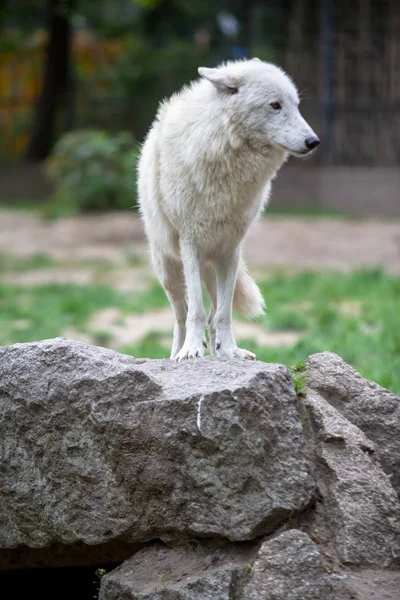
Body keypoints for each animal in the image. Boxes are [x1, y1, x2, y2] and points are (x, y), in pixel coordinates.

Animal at [138, 58, 318, 360]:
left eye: (296, 105)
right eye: (275, 105)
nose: (313, 141)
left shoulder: (230, 249)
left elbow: (223, 315)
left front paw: (231, 351)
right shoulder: (190, 246)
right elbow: (195, 312)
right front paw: (191, 350)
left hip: (212, 269)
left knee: (212, 314)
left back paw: (219, 354)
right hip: (169, 269)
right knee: (180, 314)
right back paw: (177, 353)